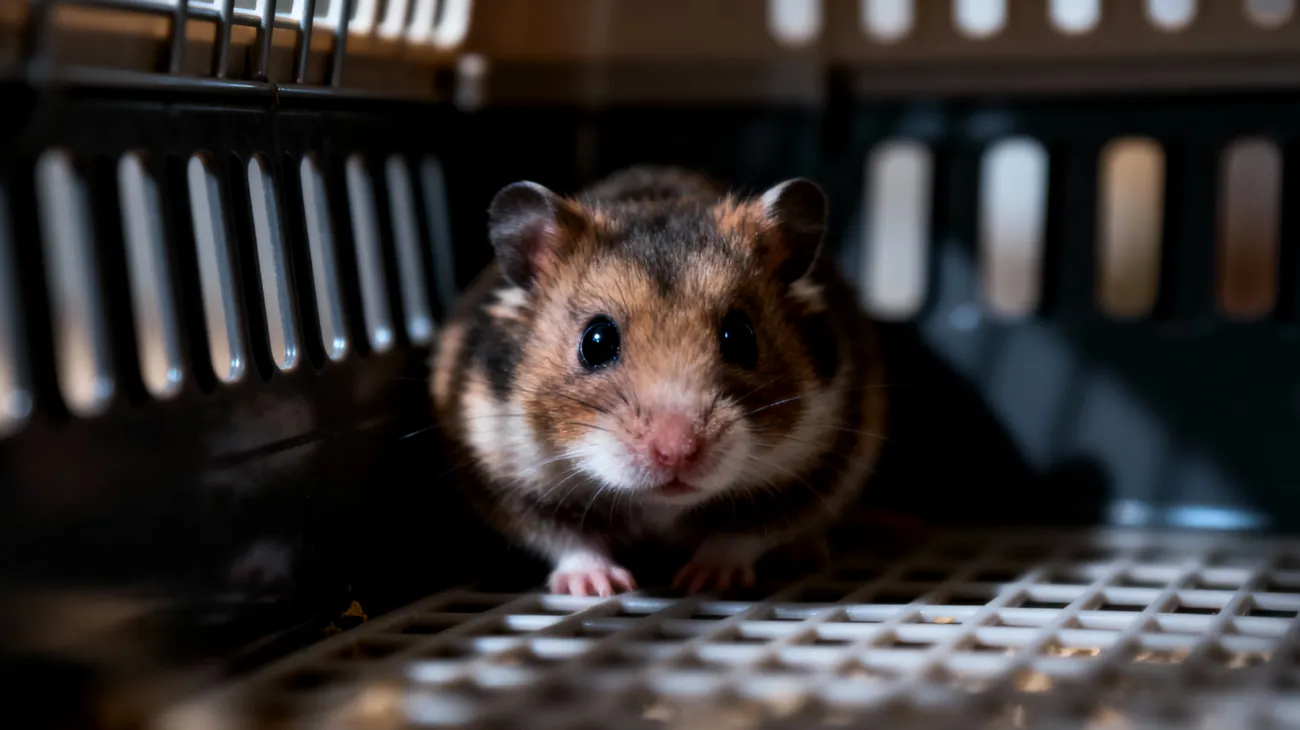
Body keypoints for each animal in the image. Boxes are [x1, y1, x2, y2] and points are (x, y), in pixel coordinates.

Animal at [431, 166, 886, 596]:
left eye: (741, 337)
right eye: (596, 341)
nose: (677, 452)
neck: (657, 505)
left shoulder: (815, 472)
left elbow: (740, 535)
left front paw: (703, 580)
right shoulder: (504, 477)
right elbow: (566, 539)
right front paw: (603, 586)